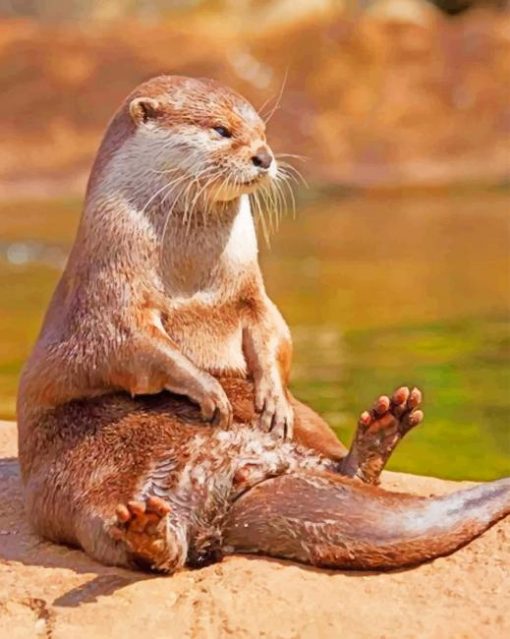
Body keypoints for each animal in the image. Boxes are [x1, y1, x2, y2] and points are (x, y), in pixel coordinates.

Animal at [15, 77, 510, 572]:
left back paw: (380, 430)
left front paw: (271, 398)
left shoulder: (251, 292)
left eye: (262, 131)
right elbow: (136, 346)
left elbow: (273, 332)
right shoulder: (110, 291)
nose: (264, 156)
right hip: (83, 479)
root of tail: (233, 482)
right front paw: (207, 389)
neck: (190, 275)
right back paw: (148, 530)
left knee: (339, 466)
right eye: (221, 130)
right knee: (127, 536)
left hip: (307, 421)